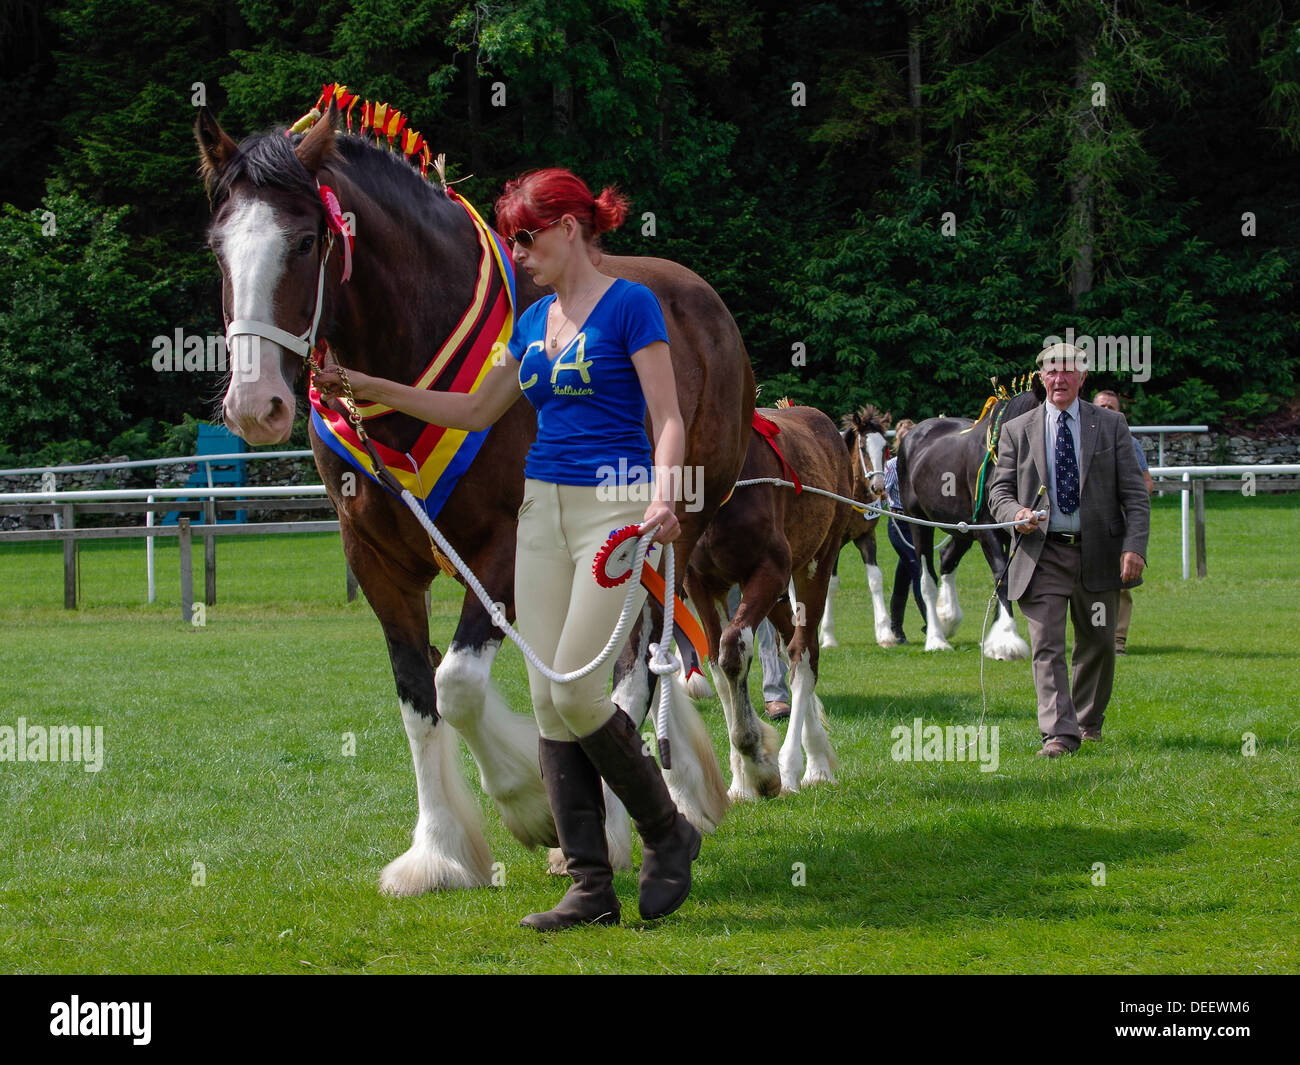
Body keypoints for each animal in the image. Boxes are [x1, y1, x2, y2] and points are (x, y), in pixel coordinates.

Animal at [684, 404, 852, 797]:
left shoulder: (769, 569)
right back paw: (816, 755)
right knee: (793, 645)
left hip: (815, 564)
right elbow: (717, 664)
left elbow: (734, 648)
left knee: (803, 654)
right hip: (776, 597)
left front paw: (761, 769)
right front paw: (740, 783)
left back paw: (802, 768)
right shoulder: (700, 582)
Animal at [819, 405, 892, 650]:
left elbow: (876, 579)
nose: (878, 486)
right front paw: (828, 636)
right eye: (863, 447)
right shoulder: (833, 543)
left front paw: (885, 633)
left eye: (885, 447)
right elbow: (830, 584)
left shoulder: (867, 537)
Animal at [894, 381, 1042, 659]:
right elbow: (1002, 574)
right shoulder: (987, 531)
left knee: (947, 560)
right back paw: (936, 638)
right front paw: (1007, 639)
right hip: (918, 522)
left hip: (962, 529)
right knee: (927, 577)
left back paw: (947, 617)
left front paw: (994, 637)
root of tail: (913, 435)